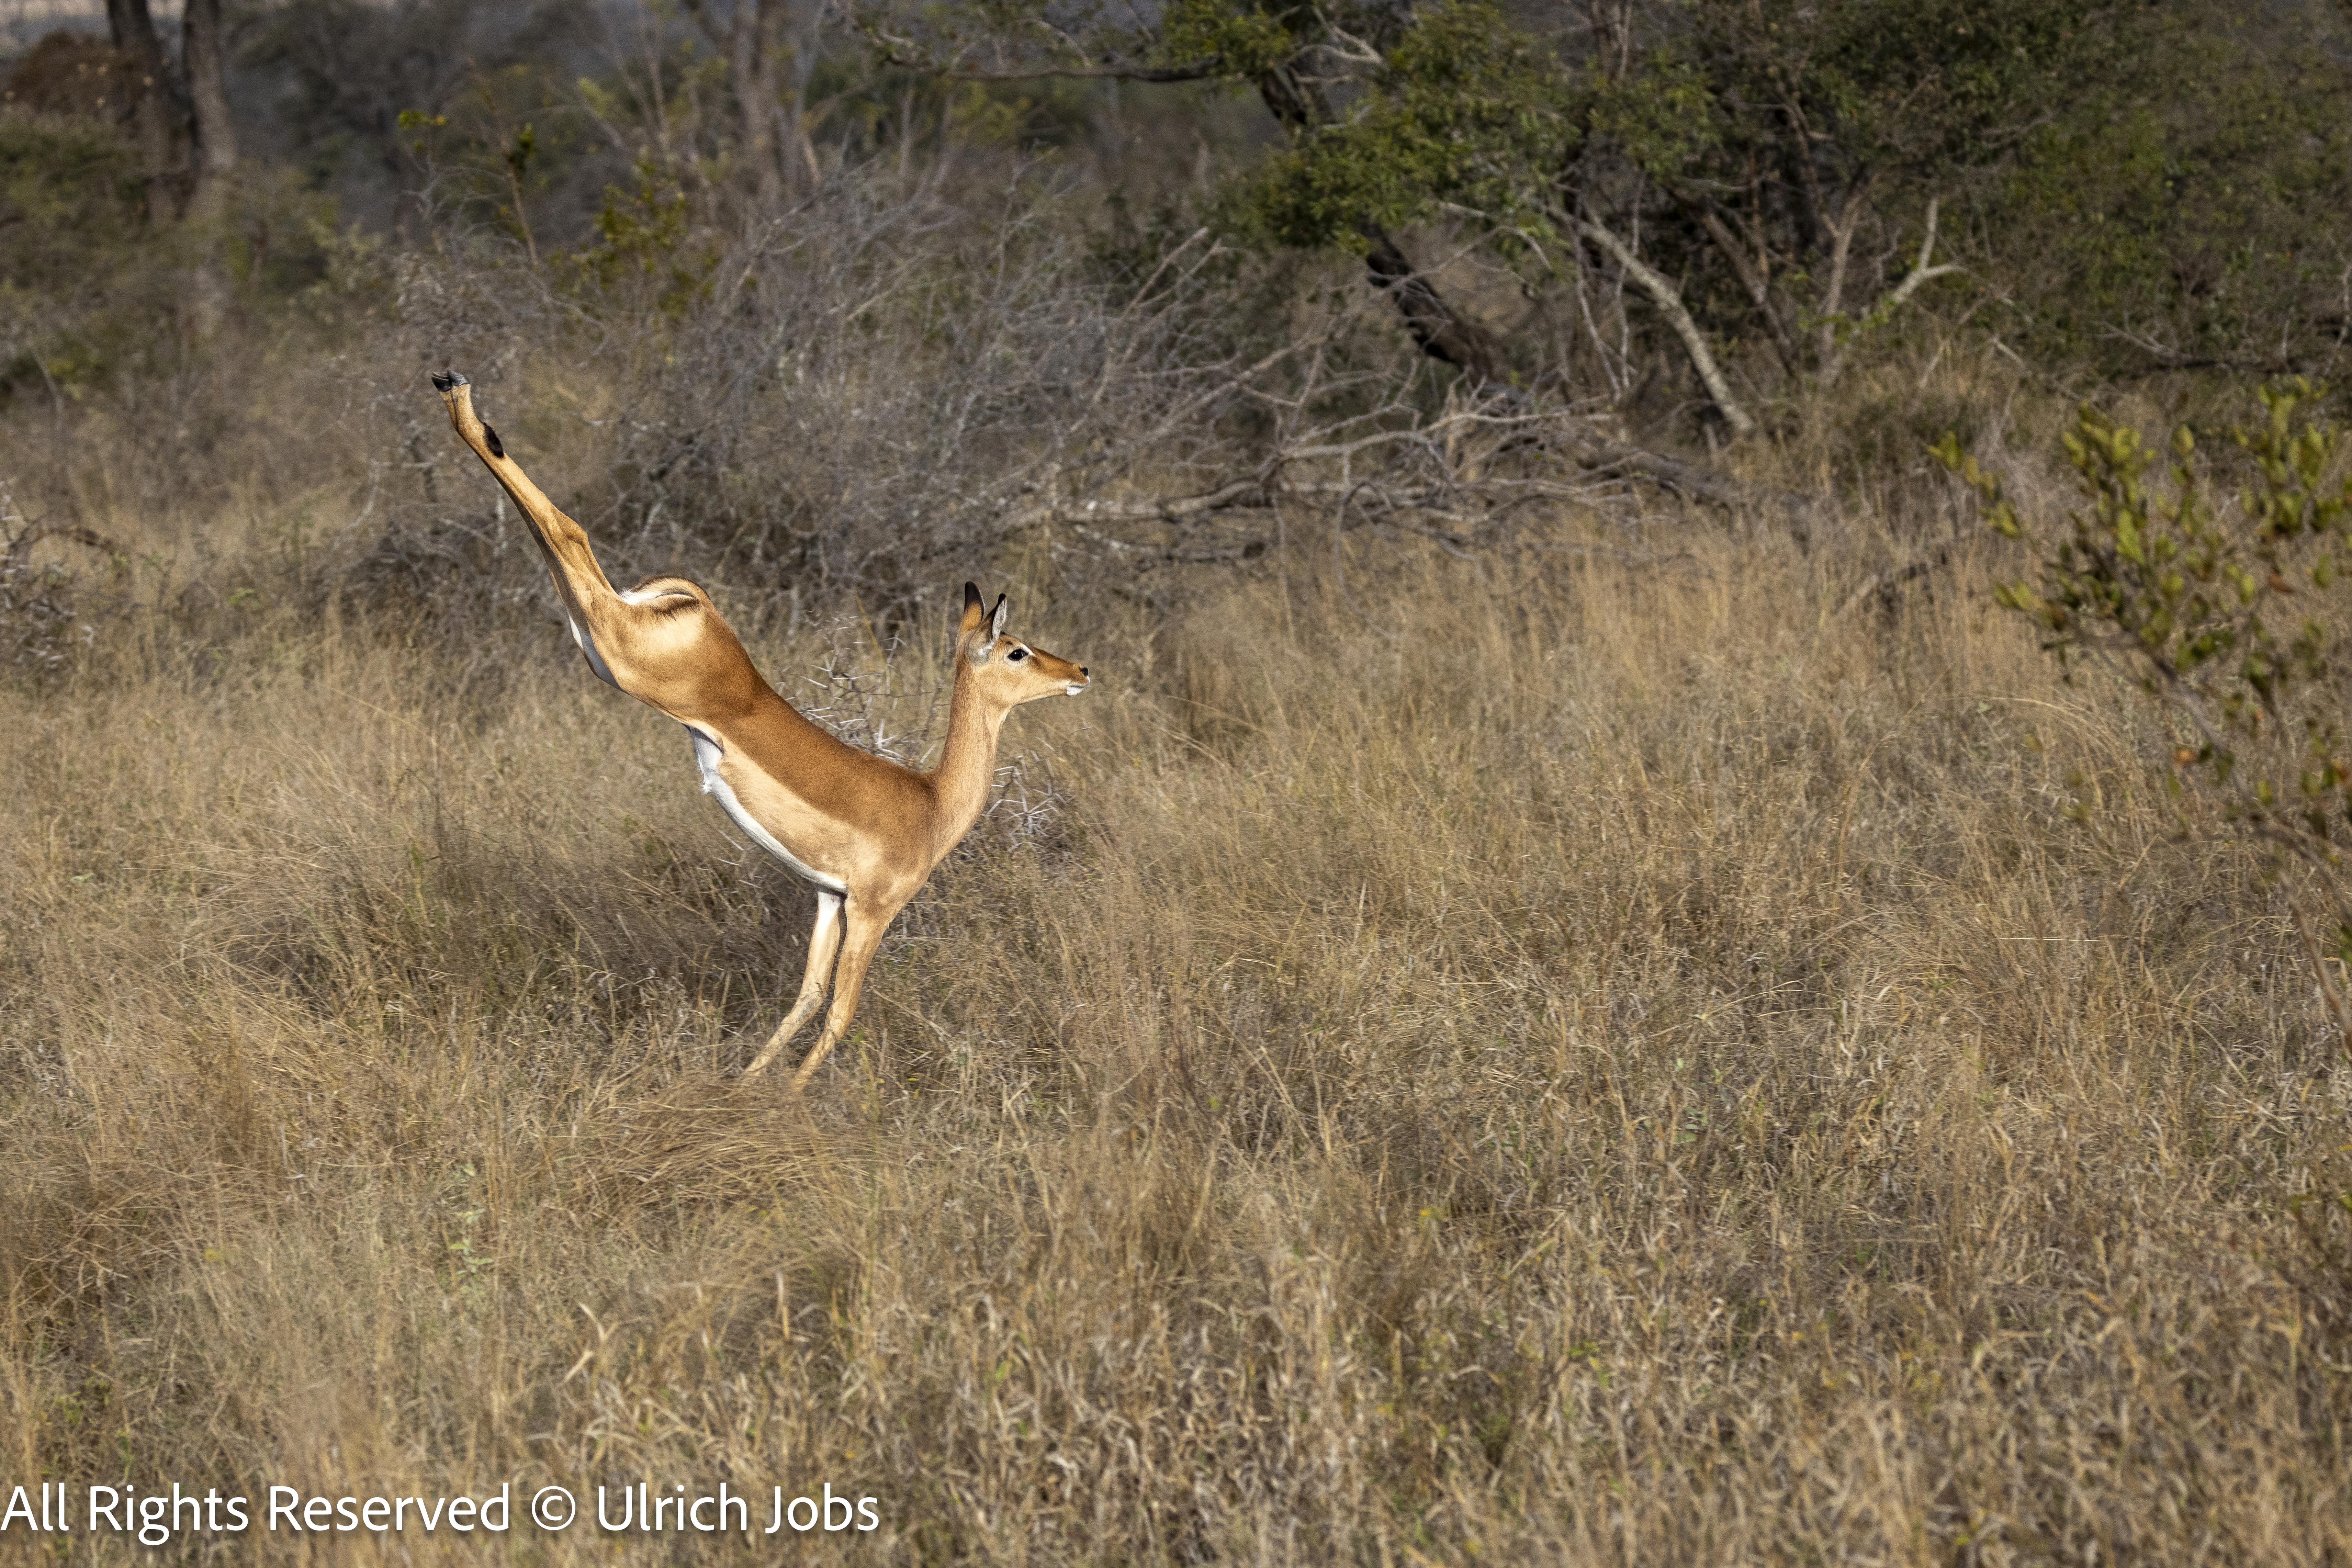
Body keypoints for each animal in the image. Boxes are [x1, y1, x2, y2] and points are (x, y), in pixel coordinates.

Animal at [429, 371, 1089, 1090]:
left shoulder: (828, 898)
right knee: (571, 531)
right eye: (1017, 650)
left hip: (598, 649)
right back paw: (458, 396)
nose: (1080, 669)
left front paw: (745, 1086)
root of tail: (699, 609)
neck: (932, 801)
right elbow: (839, 1012)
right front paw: (789, 1099)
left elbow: (805, 996)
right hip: (620, 652)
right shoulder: (873, 908)